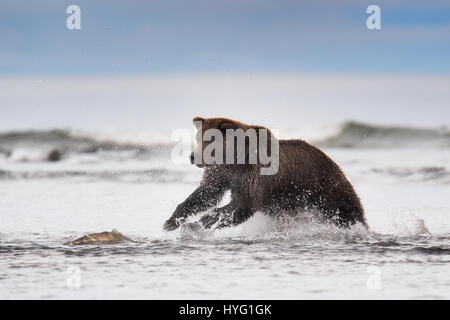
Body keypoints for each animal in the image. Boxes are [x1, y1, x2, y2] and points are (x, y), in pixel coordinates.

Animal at [163, 117, 368, 230]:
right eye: (198, 138)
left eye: (209, 140)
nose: (192, 156)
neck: (235, 159)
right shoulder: (221, 172)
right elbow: (206, 193)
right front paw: (172, 222)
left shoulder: (254, 173)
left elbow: (243, 205)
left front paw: (197, 223)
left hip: (327, 189)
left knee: (347, 210)